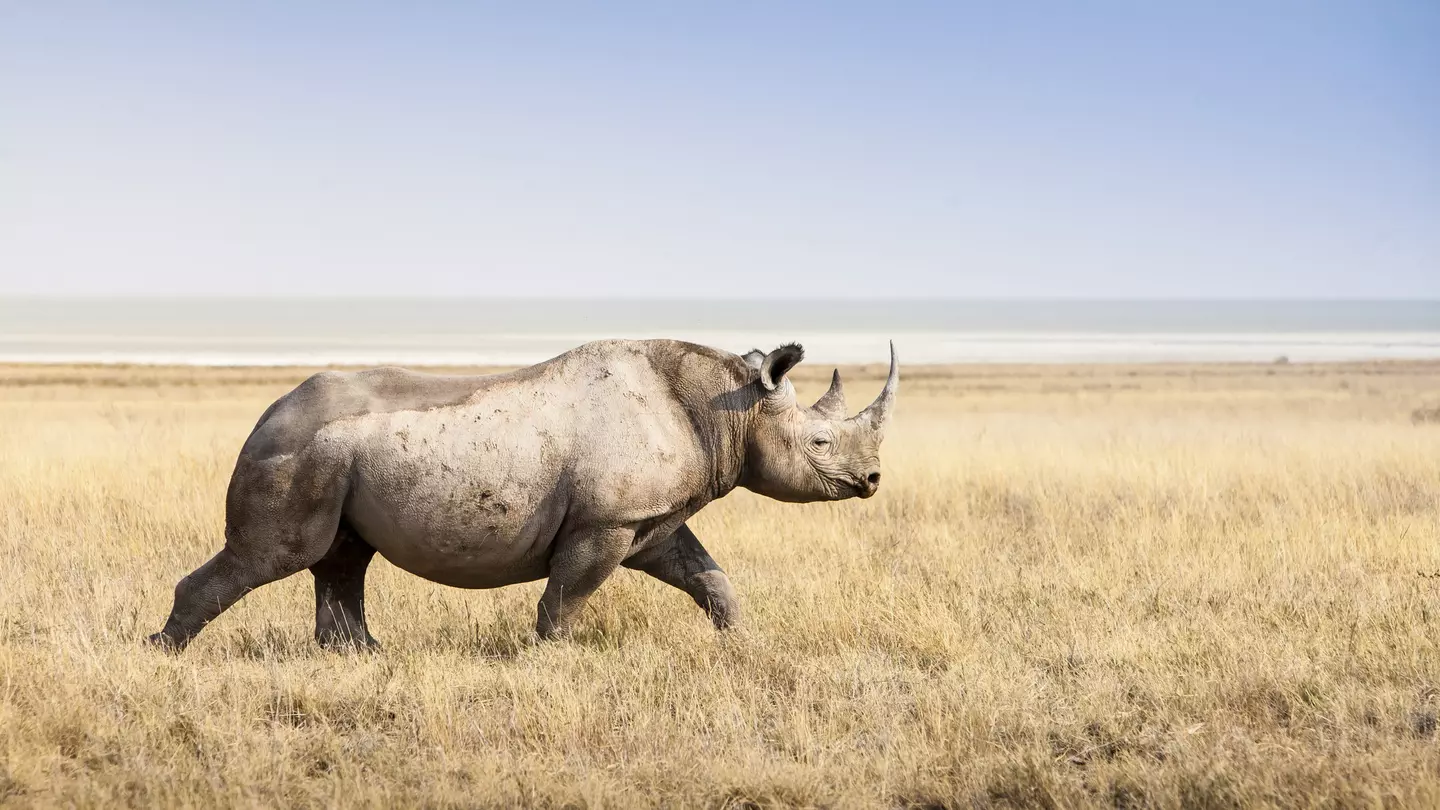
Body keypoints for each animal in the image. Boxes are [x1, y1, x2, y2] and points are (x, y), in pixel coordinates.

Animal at [148, 338, 897, 650]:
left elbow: (707, 575)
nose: (872, 481)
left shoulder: (648, 519)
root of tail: (267, 411)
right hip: (297, 450)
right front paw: (553, 657)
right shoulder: (605, 521)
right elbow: (567, 593)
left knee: (342, 558)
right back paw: (163, 651)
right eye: (820, 443)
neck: (727, 410)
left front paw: (740, 641)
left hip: (332, 454)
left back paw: (364, 657)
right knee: (274, 554)